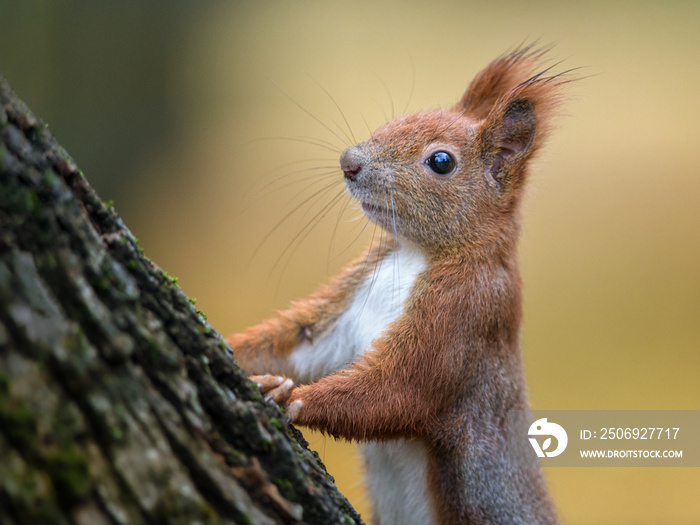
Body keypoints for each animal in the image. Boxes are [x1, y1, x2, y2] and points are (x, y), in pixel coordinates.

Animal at [230, 46, 568, 524]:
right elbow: (300, 343)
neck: (413, 254)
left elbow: (400, 387)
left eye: (441, 161)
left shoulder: (467, 313)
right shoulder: (350, 301)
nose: (348, 162)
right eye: (401, 119)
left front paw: (292, 396)